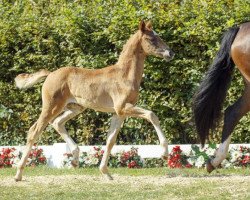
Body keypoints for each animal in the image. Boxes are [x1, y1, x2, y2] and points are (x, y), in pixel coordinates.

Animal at [13, 20, 174, 181]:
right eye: (151, 39)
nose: (170, 53)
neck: (124, 75)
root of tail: (50, 74)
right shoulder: (123, 107)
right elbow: (152, 115)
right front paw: (164, 154)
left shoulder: (119, 113)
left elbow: (110, 140)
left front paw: (106, 172)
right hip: (51, 107)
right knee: (34, 131)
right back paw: (18, 174)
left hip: (75, 107)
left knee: (57, 123)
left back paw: (75, 159)